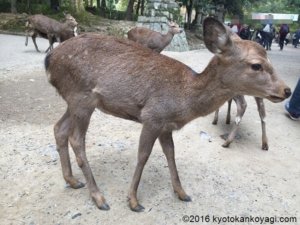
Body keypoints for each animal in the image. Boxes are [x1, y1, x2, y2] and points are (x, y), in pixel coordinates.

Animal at [44, 17, 290, 211]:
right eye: (256, 65)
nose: (286, 90)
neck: (184, 99)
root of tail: (50, 59)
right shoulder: (153, 116)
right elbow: (143, 156)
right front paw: (133, 201)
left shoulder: (166, 126)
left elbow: (171, 154)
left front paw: (182, 193)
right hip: (82, 97)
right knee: (76, 139)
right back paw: (99, 197)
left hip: (74, 100)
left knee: (59, 128)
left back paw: (72, 180)